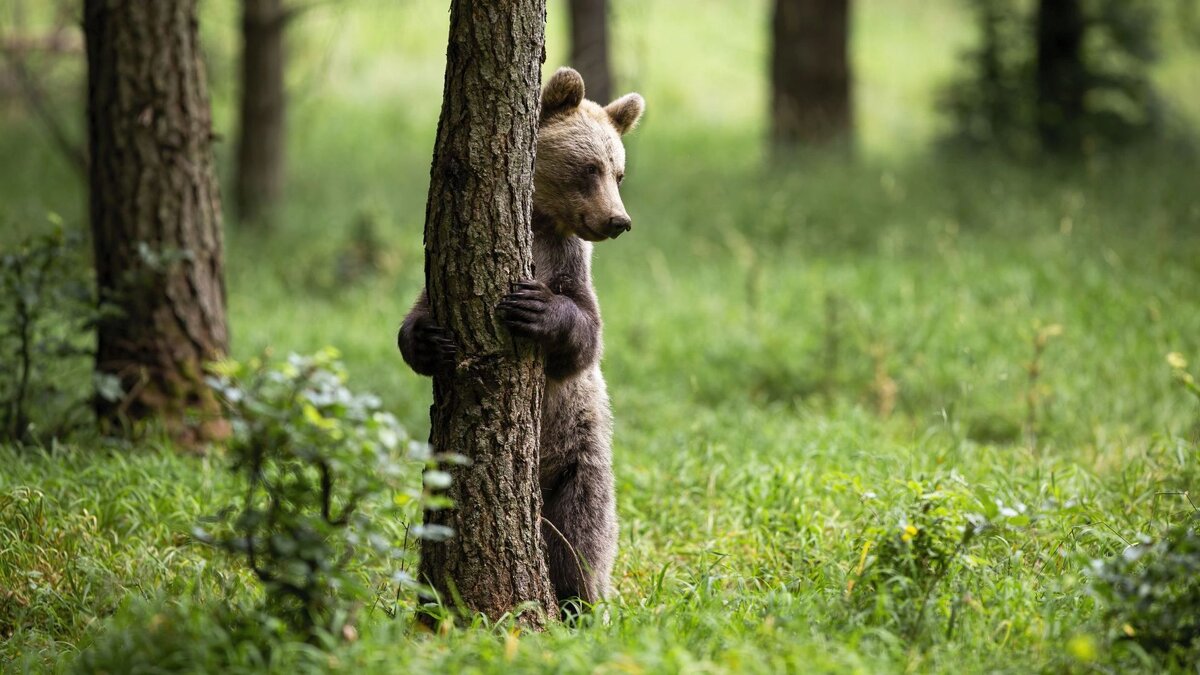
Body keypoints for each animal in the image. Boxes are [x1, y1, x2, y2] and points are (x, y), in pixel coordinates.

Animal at [396, 65, 643, 607]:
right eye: (590, 168)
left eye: (618, 172)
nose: (618, 220)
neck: (541, 223)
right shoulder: (441, 268)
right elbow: (415, 321)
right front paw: (429, 340)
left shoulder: (569, 264)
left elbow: (585, 335)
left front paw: (534, 307)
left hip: (581, 459)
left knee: (581, 538)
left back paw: (579, 601)